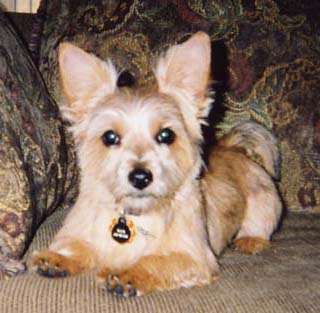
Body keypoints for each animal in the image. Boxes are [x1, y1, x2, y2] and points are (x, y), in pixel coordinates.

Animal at [32, 31, 282, 294]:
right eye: (109, 137)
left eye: (166, 135)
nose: (140, 177)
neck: (135, 215)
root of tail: (229, 147)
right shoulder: (81, 234)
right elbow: (77, 245)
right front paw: (57, 258)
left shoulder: (193, 257)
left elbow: (155, 261)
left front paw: (127, 274)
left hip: (265, 206)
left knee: (259, 227)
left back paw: (250, 240)